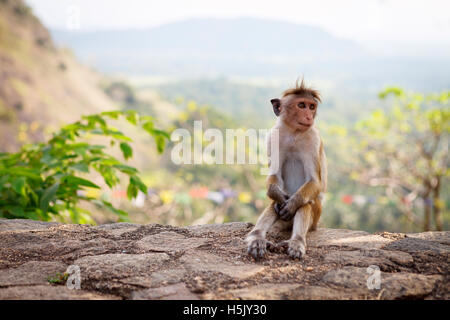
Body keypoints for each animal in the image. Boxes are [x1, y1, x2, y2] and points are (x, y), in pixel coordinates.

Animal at [246, 79, 326, 260]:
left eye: (312, 107)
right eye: (301, 105)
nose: (309, 116)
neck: (294, 132)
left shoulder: (314, 138)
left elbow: (314, 181)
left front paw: (292, 204)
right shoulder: (273, 136)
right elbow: (274, 176)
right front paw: (278, 196)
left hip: (316, 217)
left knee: (307, 203)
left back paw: (296, 242)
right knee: (274, 206)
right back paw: (257, 238)